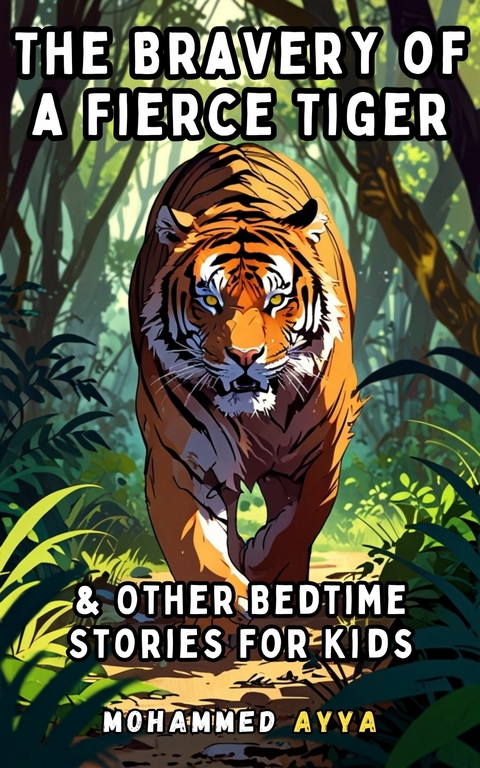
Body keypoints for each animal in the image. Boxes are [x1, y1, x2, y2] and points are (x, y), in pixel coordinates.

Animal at [129, 143, 362, 617]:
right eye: (209, 300)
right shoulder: (179, 458)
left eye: (277, 299)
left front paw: (260, 564)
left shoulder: (324, 447)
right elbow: (196, 551)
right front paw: (227, 603)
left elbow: (300, 523)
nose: (244, 357)